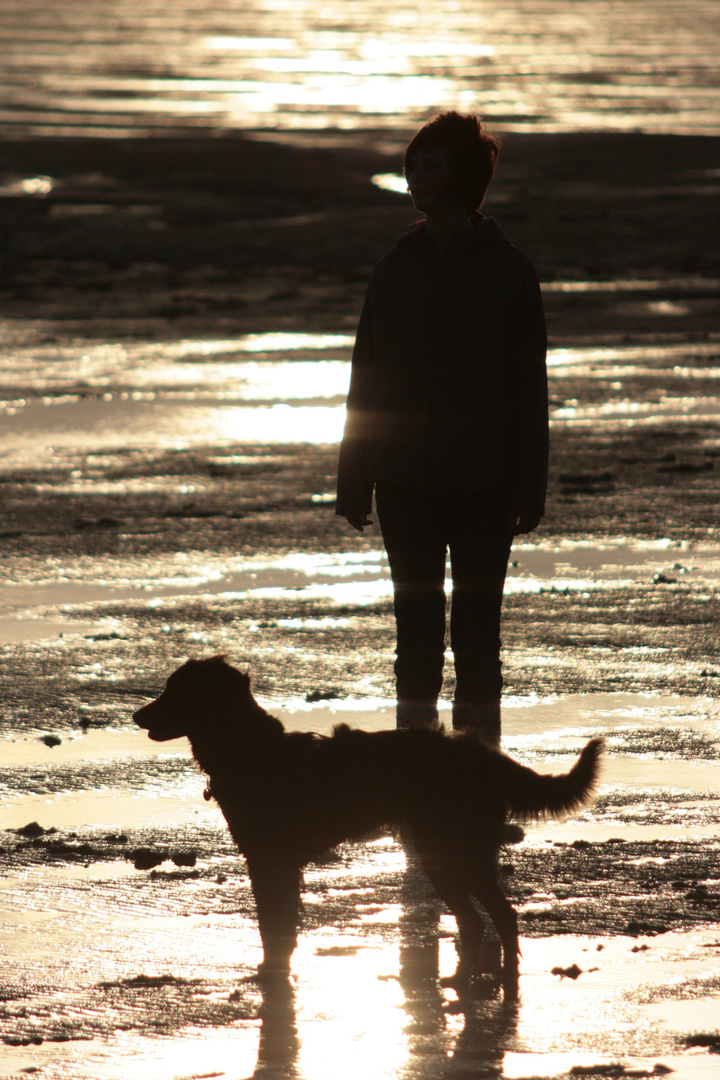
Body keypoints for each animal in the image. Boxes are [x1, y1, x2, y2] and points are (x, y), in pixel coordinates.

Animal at [131, 648, 604, 993]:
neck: (250, 749)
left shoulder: (272, 862)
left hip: (454, 853)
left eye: (176, 690)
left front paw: (272, 973)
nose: (136, 716)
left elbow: (274, 926)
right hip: (446, 856)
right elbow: (278, 925)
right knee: (476, 921)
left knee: (499, 916)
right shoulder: (275, 863)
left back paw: (498, 979)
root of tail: (484, 757)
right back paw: (460, 979)